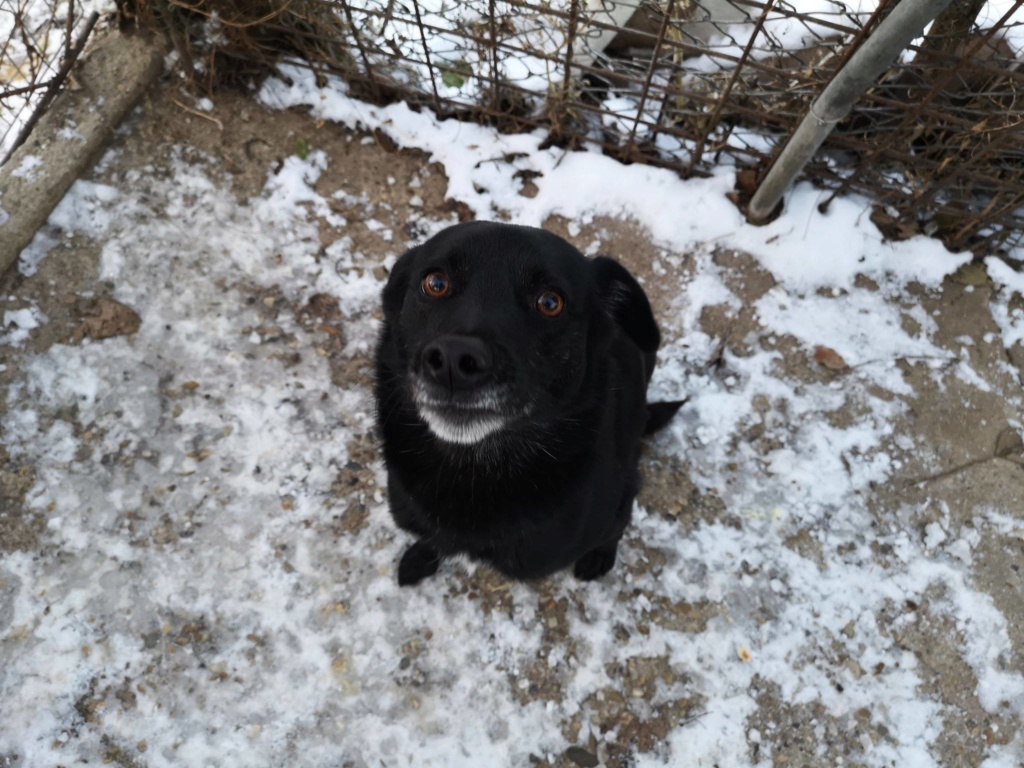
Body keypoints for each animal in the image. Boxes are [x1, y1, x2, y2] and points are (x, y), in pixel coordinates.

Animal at [374, 222, 679, 589]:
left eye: (550, 302)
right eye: (435, 283)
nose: (453, 361)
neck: (475, 474)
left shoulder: (616, 506)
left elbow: (615, 530)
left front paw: (601, 555)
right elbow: (431, 539)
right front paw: (421, 556)